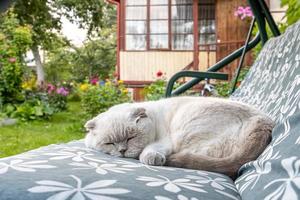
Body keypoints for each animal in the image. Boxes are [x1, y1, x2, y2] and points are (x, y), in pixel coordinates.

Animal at [84, 97, 274, 178]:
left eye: (131, 137)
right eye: (110, 143)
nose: (122, 151)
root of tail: (263, 121)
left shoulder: (164, 141)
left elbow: (149, 150)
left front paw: (151, 159)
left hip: (184, 127)